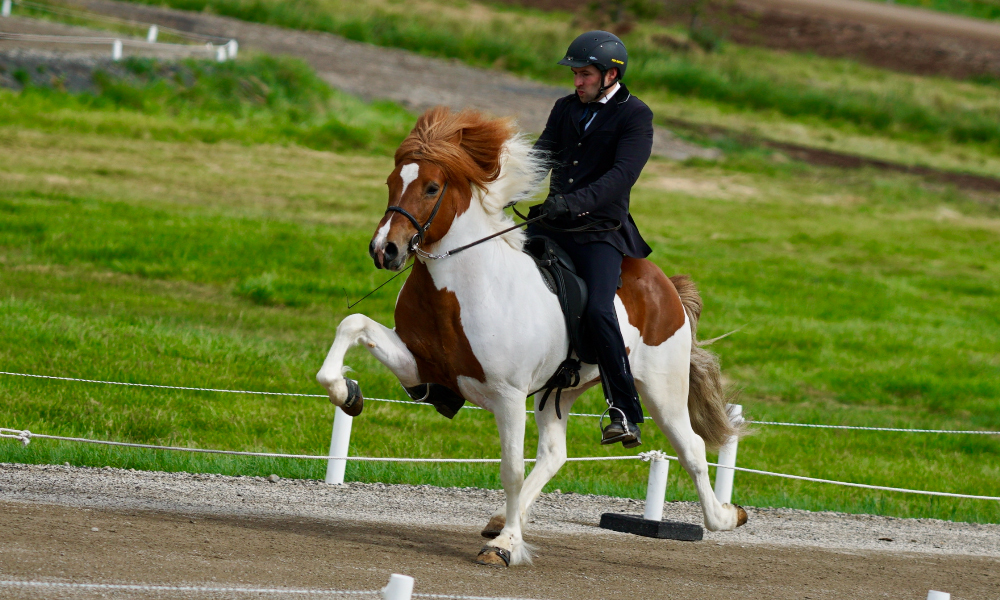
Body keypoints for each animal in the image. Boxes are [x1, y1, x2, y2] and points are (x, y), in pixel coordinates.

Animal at [316, 106, 748, 568]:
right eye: (391, 182)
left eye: (431, 187)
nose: (385, 250)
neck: (465, 285)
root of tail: (667, 284)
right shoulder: (422, 367)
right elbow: (353, 324)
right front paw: (347, 393)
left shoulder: (506, 395)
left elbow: (511, 469)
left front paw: (505, 548)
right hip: (559, 391)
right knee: (555, 454)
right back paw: (503, 521)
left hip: (662, 390)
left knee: (692, 450)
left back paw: (726, 516)